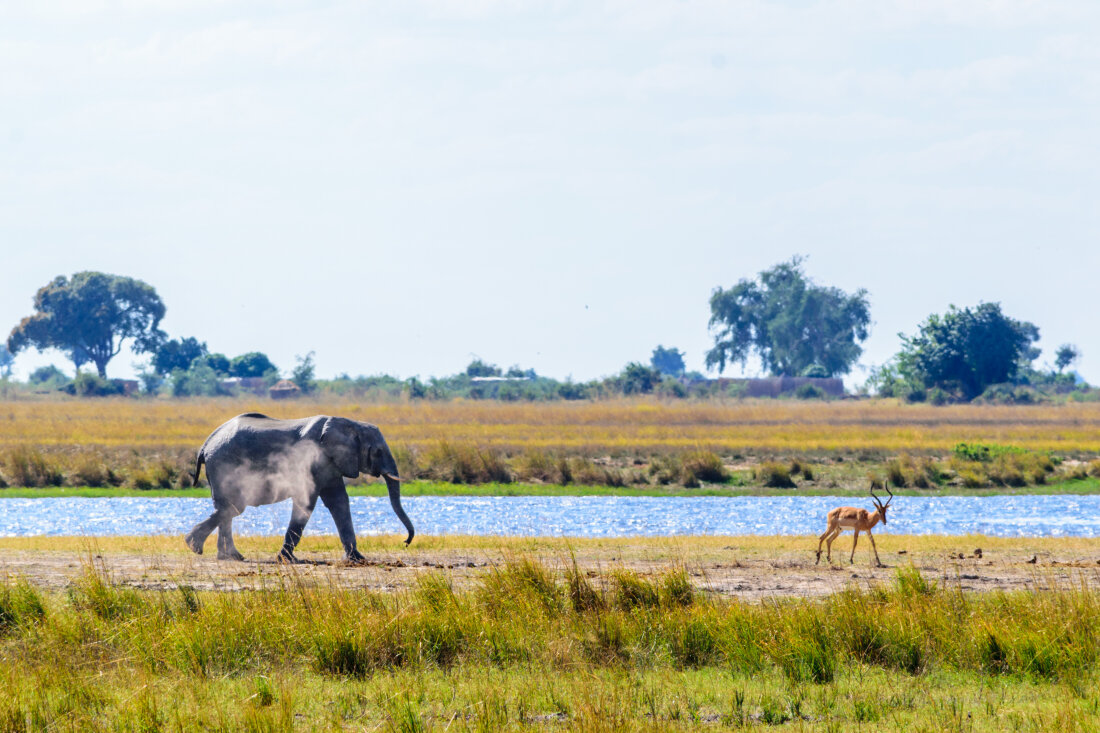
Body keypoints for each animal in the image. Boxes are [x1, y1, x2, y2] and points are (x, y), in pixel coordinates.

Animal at [184, 413, 413, 561]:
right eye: (378, 452)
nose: (405, 542)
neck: (349, 424)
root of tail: (206, 444)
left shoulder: (330, 463)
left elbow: (339, 502)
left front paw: (357, 559)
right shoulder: (313, 459)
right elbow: (307, 502)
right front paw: (286, 559)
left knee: (228, 508)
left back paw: (230, 556)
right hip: (223, 465)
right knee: (233, 506)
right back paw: (194, 546)